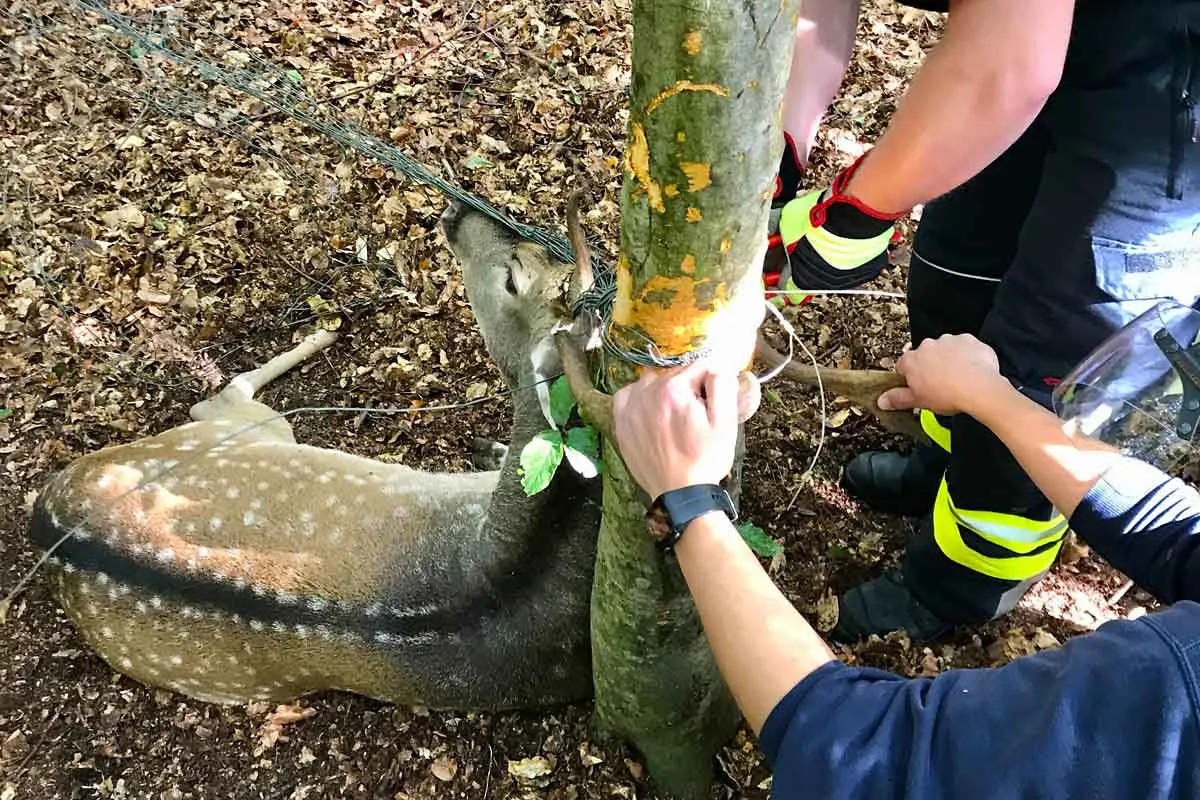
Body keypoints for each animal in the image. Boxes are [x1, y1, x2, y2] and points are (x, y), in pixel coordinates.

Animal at [27, 196, 919, 712]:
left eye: (521, 270)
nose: (457, 211)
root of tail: (46, 511)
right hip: (234, 438)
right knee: (223, 395)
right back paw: (323, 327)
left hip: (231, 451)